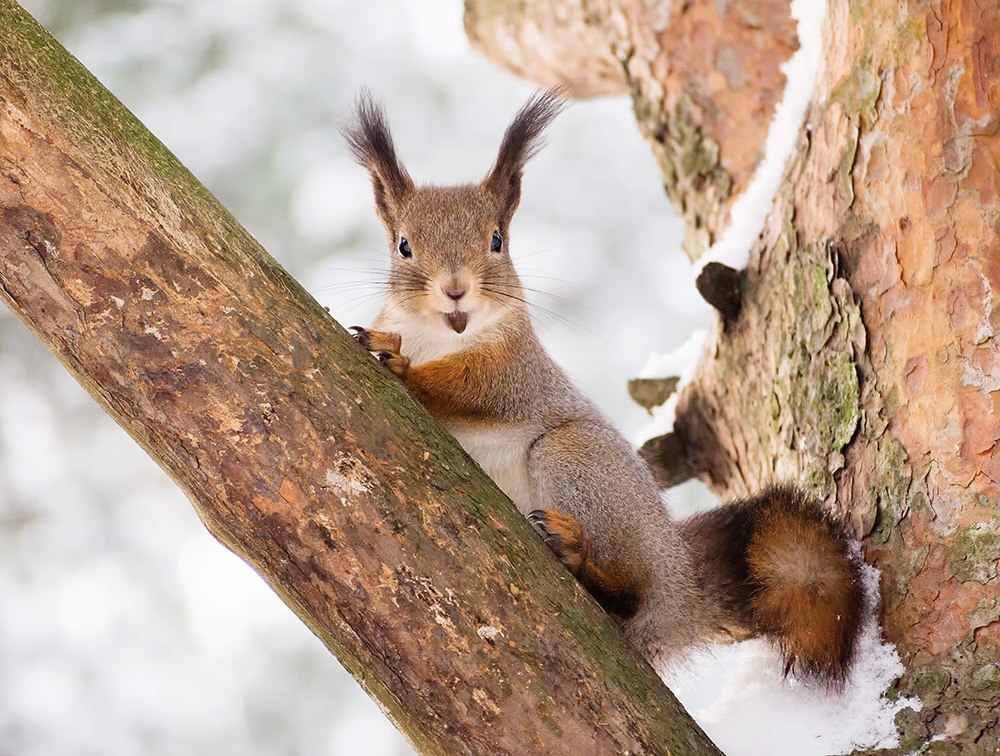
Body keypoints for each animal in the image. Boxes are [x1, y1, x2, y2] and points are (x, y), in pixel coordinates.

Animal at [340, 90, 864, 684]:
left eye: (497, 240)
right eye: (403, 246)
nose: (455, 290)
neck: (442, 336)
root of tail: (679, 586)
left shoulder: (517, 370)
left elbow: (472, 388)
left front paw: (397, 361)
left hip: (577, 459)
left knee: (630, 593)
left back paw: (581, 558)